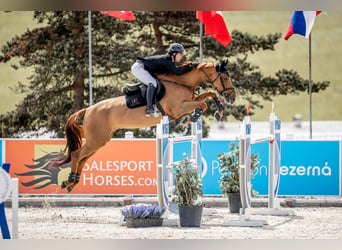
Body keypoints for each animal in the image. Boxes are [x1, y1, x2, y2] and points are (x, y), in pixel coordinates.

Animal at [50, 60, 236, 191]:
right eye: (225, 77)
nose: (232, 97)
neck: (182, 81)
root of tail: (88, 109)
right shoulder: (178, 109)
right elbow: (202, 103)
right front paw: (195, 116)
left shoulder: (188, 101)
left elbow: (208, 94)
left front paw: (219, 109)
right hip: (96, 140)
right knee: (76, 155)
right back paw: (70, 180)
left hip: (99, 141)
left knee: (83, 158)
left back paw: (72, 182)